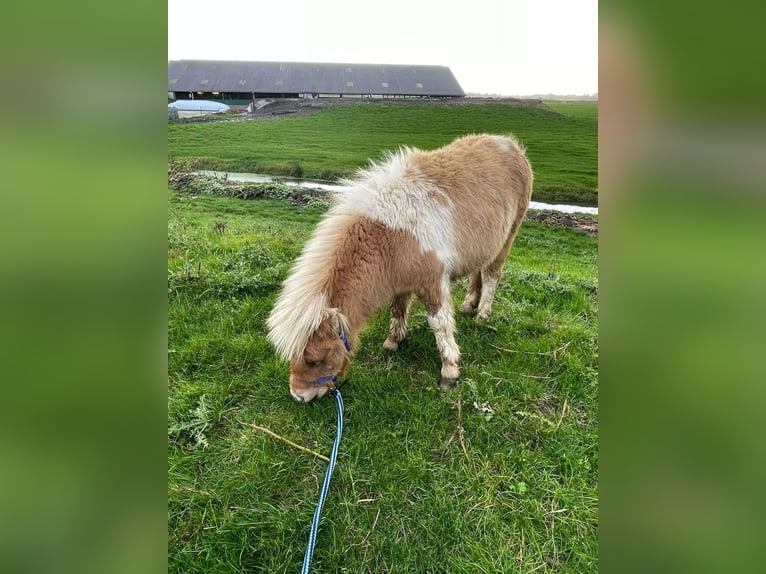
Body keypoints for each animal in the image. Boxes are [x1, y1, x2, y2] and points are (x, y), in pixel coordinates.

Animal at [270, 135, 536, 404]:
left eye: (315, 360)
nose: (298, 396)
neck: (391, 234)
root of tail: (509, 144)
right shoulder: (400, 280)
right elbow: (397, 310)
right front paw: (393, 343)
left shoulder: (433, 282)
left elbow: (439, 324)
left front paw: (449, 371)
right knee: (477, 273)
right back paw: (469, 304)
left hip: (507, 239)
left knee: (491, 274)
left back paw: (482, 314)